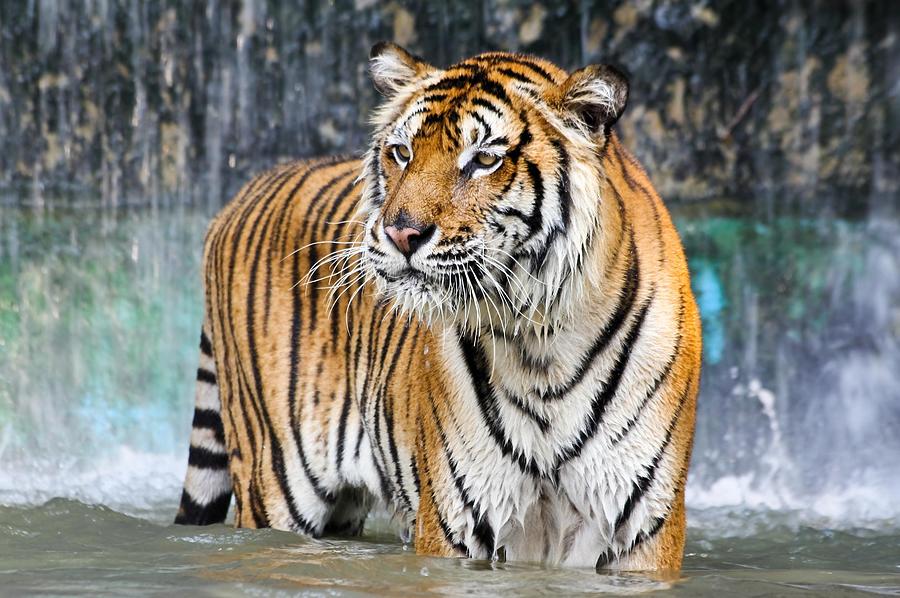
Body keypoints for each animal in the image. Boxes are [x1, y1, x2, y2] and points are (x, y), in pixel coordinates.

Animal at [174, 42, 704, 572]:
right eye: (402, 152)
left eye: (484, 159)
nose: (401, 233)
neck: (539, 342)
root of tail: (240, 194)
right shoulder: (461, 519)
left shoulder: (641, 528)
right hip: (274, 482)